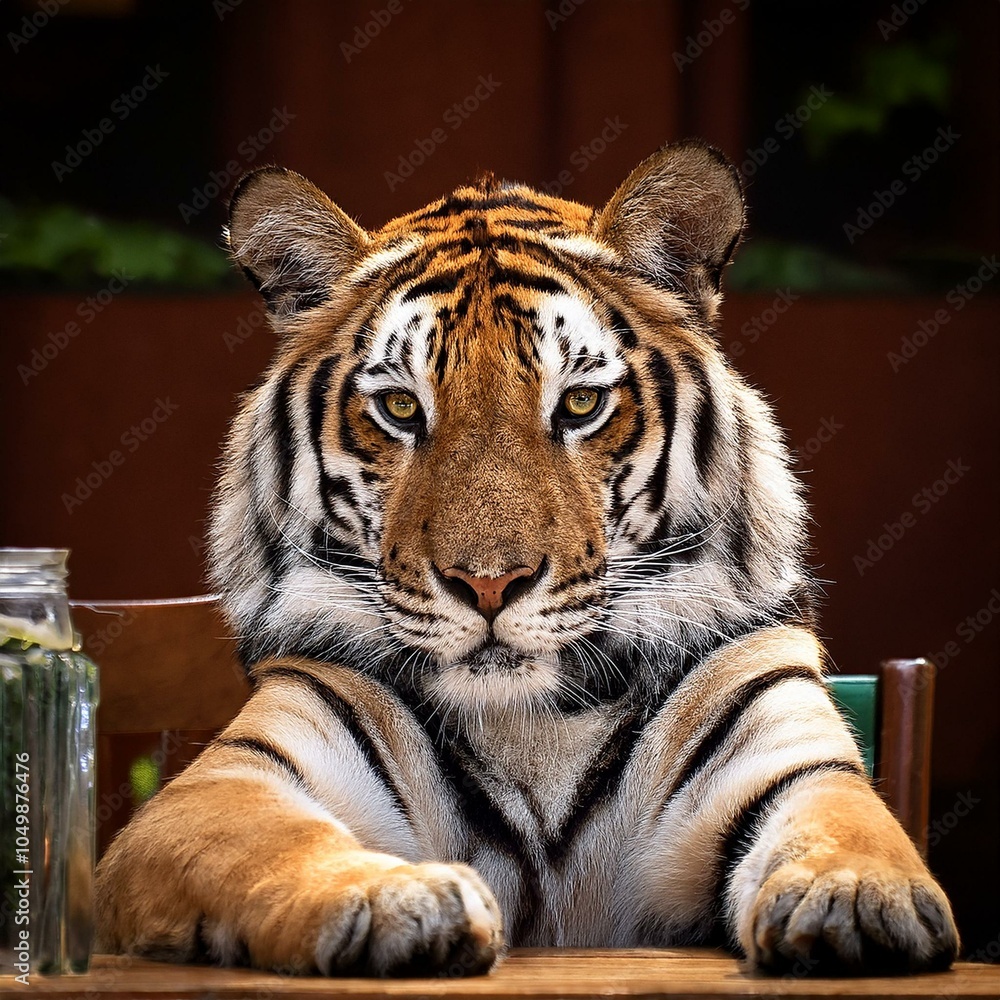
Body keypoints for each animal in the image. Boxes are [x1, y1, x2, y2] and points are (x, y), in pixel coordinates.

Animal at [94, 139, 959, 977]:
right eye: (400, 406)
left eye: (580, 403)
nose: (488, 585)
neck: (538, 726)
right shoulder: (235, 779)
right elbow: (272, 842)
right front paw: (394, 899)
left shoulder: (786, 749)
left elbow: (842, 825)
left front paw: (857, 898)